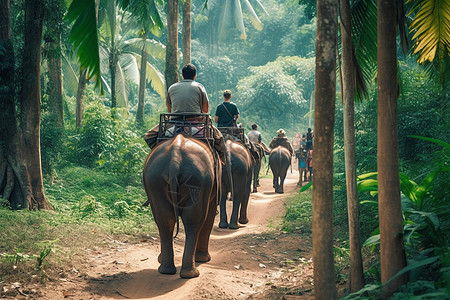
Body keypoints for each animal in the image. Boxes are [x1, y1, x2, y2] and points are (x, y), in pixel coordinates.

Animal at [143, 134, 221, 278]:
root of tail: (175, 160)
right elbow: (210, 214)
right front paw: (204, 259)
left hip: (155, 180)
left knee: (165, 219)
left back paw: (167, 270)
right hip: (199, 180)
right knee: (194, 220)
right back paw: (191, 273)